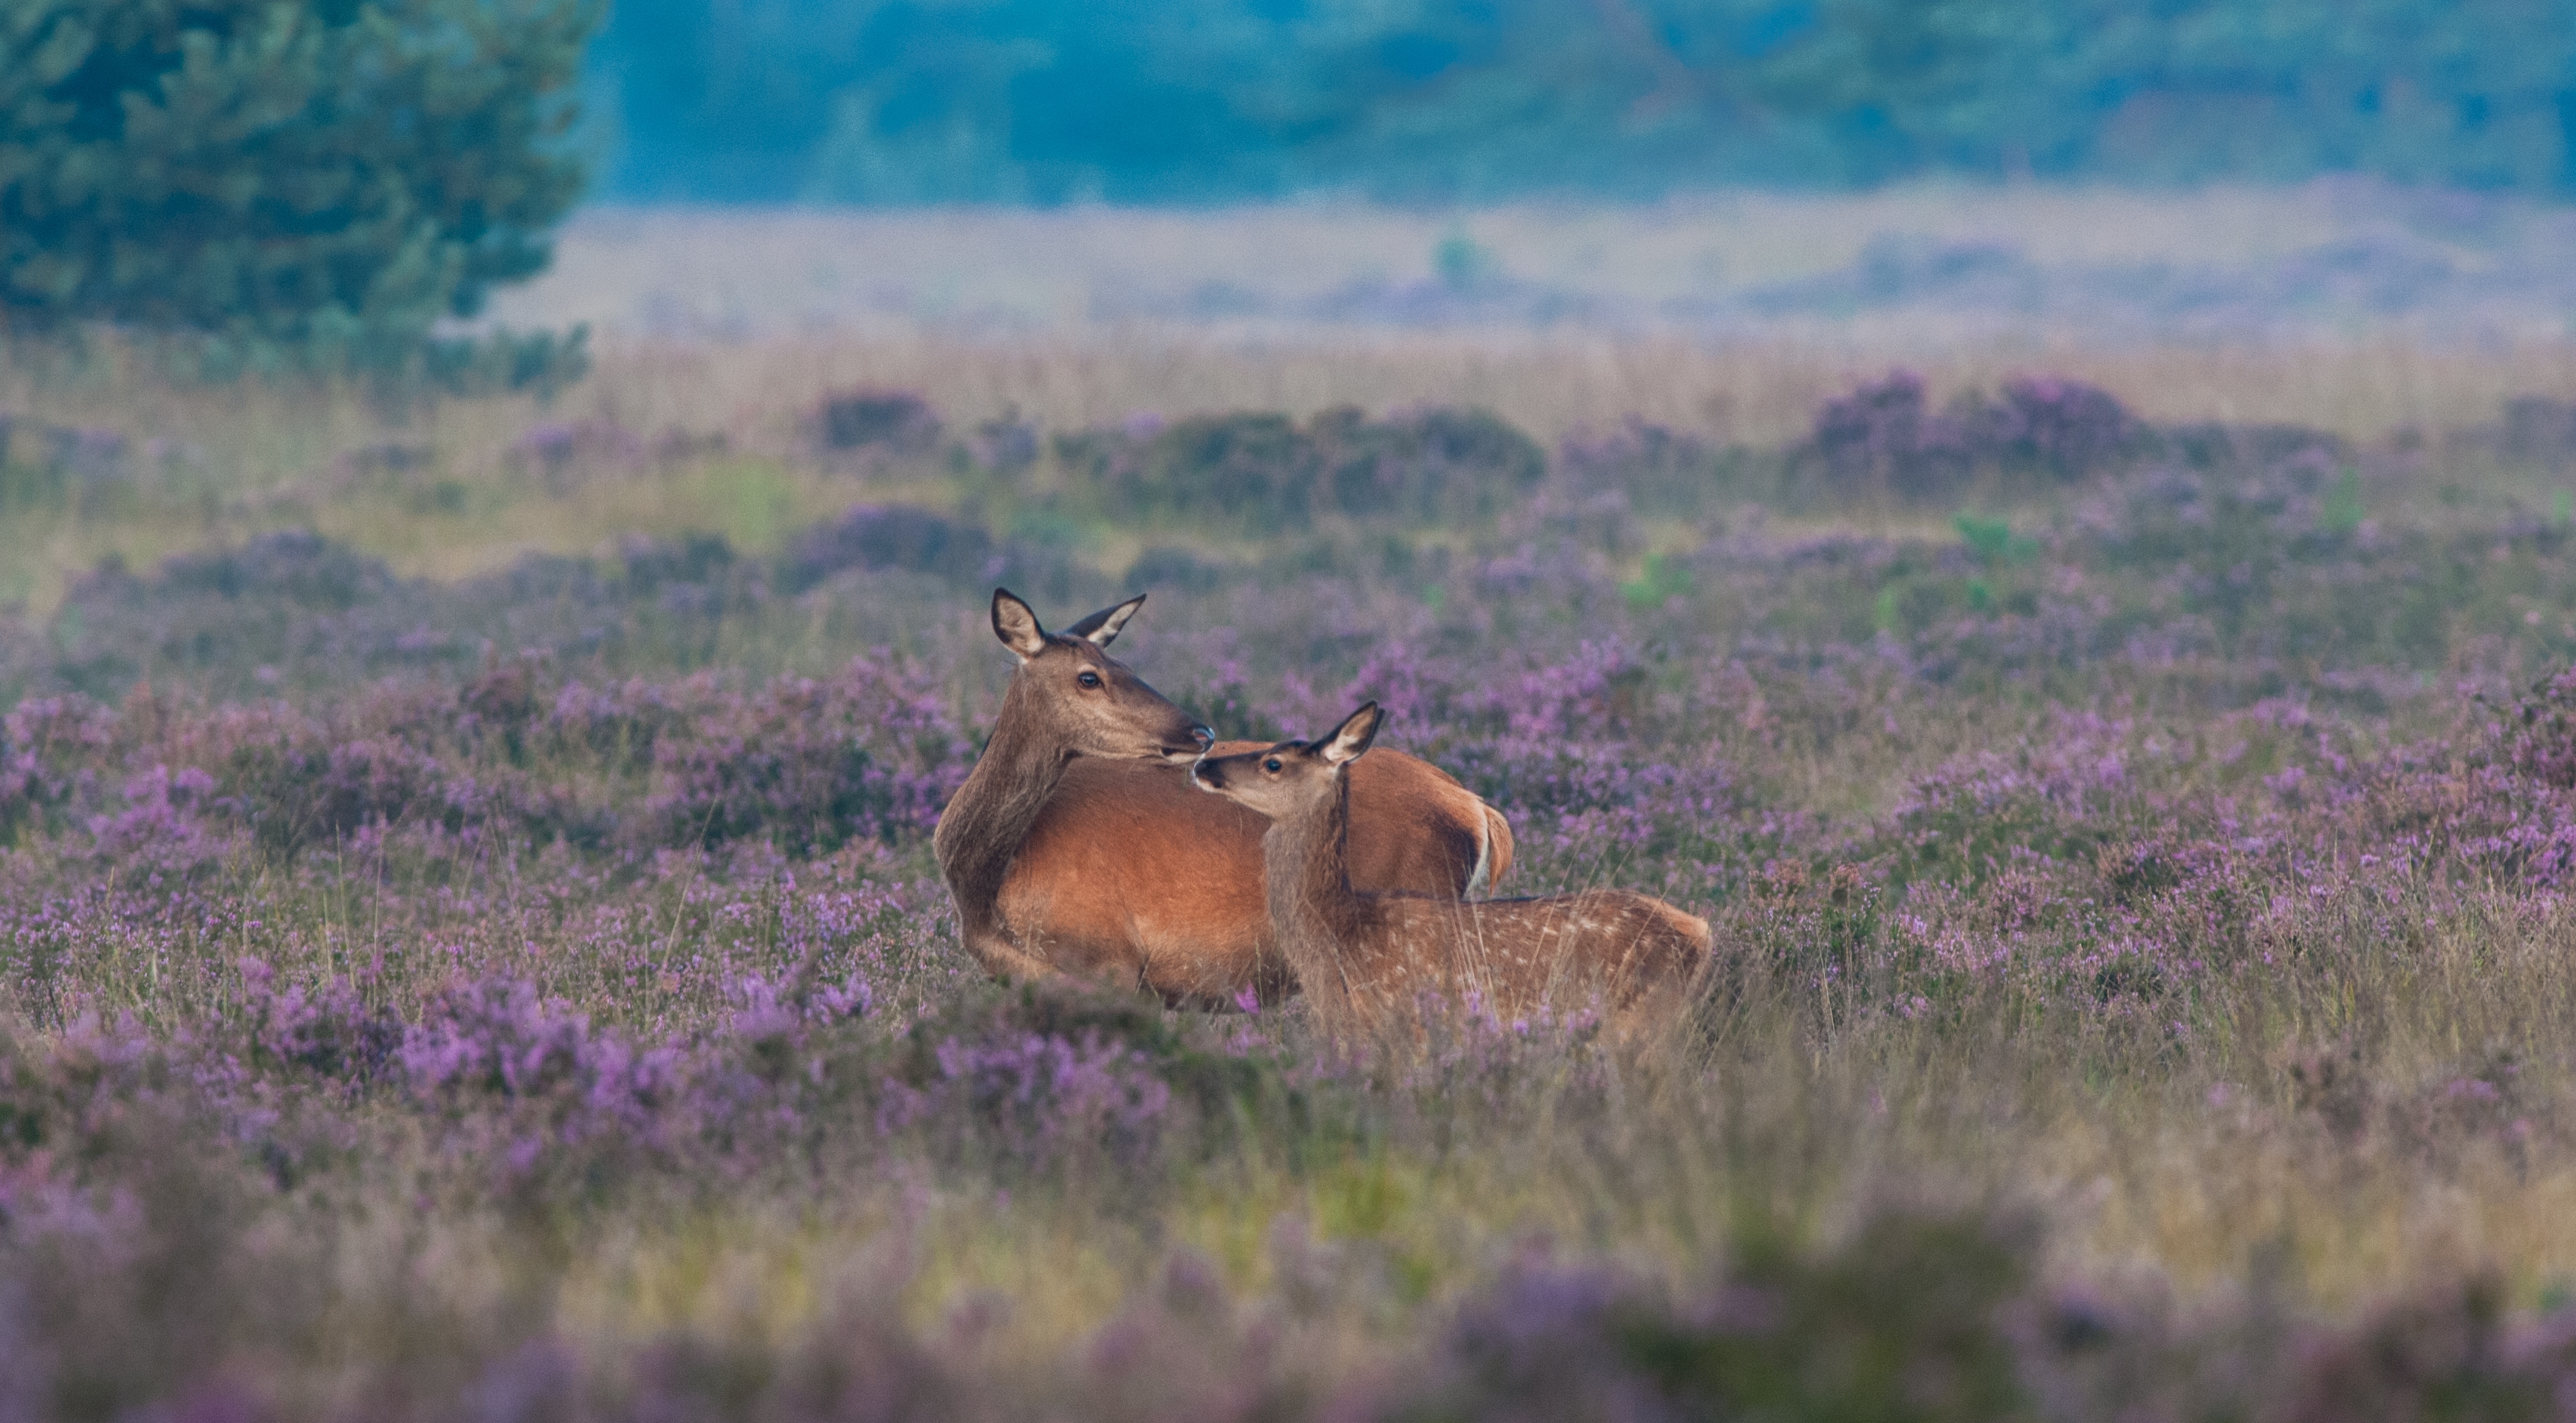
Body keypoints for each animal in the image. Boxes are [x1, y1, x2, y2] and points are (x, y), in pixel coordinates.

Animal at [942, 595, 1504, 1005]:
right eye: (1089, 675)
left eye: (1121, 662)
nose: (1200, 731)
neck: (988, 888)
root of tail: (1479, 811)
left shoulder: (1113, 961)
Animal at [1185, 701, 1710, 1046]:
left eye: (1273, 762)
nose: (1205, 764)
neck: (1339, 934)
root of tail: (1703, 932)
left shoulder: (1402, 1023)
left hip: (1643, 1017)